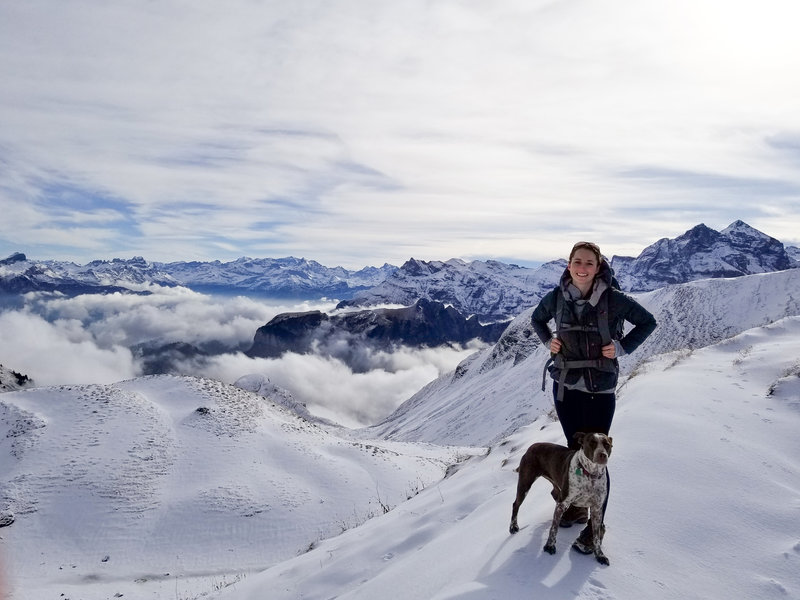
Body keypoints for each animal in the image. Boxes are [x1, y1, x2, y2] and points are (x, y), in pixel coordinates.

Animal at [510, 428, 616, 564]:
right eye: (592, 442)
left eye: (607, 444)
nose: (602, 455)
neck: (590, 474)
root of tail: (531, 446)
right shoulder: (563, 503)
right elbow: (554, 528)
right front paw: (550, 545)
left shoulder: (597, 509)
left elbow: (596, 537)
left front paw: (599, 555)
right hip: (525, 483)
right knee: (516, 504)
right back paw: (513, 526)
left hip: (555, 484)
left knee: (554, 493)